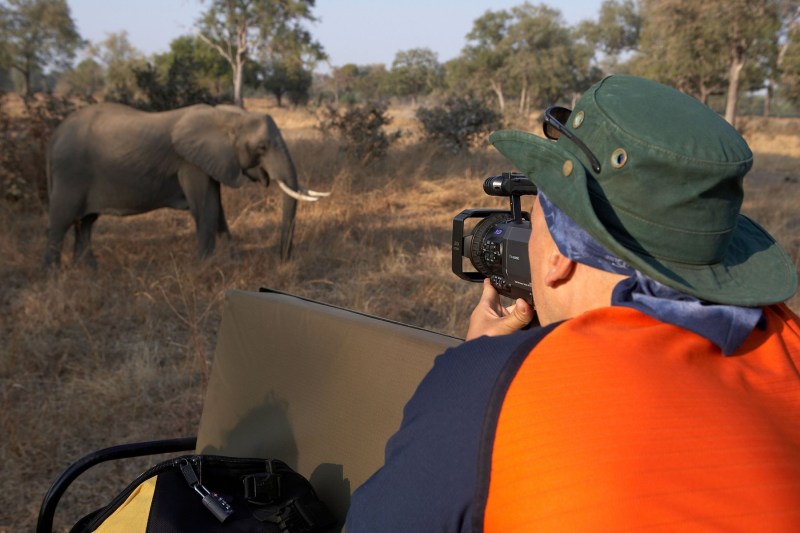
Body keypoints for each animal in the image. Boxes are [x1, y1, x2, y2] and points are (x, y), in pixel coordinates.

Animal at [42, 101, 324, 266]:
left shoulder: (211, 161)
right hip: (70, 174)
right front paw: (205, 267)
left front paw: (232, 263)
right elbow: (207, 207)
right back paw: (54, 278)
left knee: (86, 223)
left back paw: (88, 272)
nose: (283, 260)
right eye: (262, 148)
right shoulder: (190, 163)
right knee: (60, 222)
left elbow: (217, 209)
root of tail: (54, 136)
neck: (229, 117)